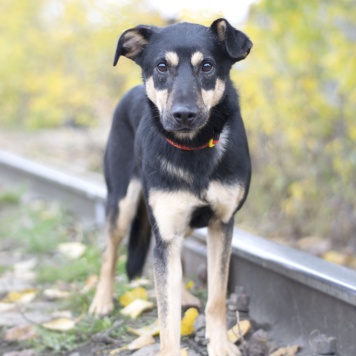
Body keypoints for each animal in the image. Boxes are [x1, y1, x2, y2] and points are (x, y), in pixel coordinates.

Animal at [89, 19, 253, 356]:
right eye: (161, 67)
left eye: (207, 66)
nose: (183, 114)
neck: (193, 147)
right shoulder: (165, 230)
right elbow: (166, 320)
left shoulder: (222, 224)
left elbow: (217, 297)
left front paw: (220, 344)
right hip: (122, 202)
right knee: (110, 251)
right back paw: (102, 300)